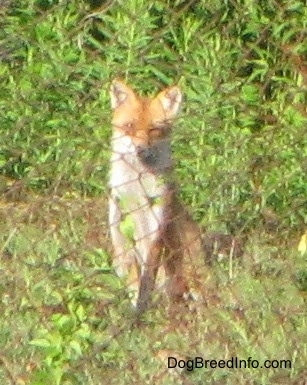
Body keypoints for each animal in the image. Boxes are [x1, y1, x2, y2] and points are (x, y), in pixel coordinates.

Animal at [109, 79, 205, 312]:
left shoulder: (154, 229)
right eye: (129, 126)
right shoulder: (121, 230)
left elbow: (146, 279)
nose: (139, 149)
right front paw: (135, 309)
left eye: (153, 130)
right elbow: (134, 281)